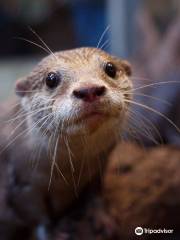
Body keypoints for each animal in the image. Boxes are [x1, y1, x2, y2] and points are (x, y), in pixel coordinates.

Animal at [0, 47, 131, 240]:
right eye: (51, 79)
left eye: (110, 68)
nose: (89, 89)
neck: (69, 171)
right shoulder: (21, 186)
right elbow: (38, 214)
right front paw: (53, 231)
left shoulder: (101, 162)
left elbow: (96, 191)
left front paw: (103, 216)